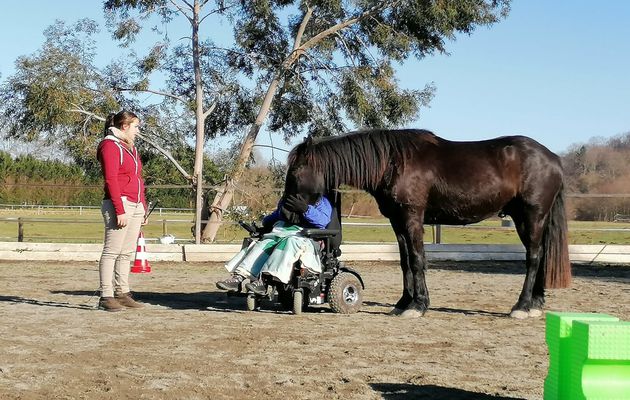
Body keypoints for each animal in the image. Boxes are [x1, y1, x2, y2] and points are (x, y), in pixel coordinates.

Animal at [286, 128, 572, 318]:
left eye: (297, 170)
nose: (287, 212)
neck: (394, 162)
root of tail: (553, 158)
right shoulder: (398, 222)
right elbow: (405, 262)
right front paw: (403, 302)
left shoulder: (413, 218)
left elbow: (417, 259)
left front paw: (418, 305)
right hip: (524, 219)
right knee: (541, 255)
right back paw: (536, 303)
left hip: (533, 215)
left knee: (533, 257)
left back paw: (521, 307)